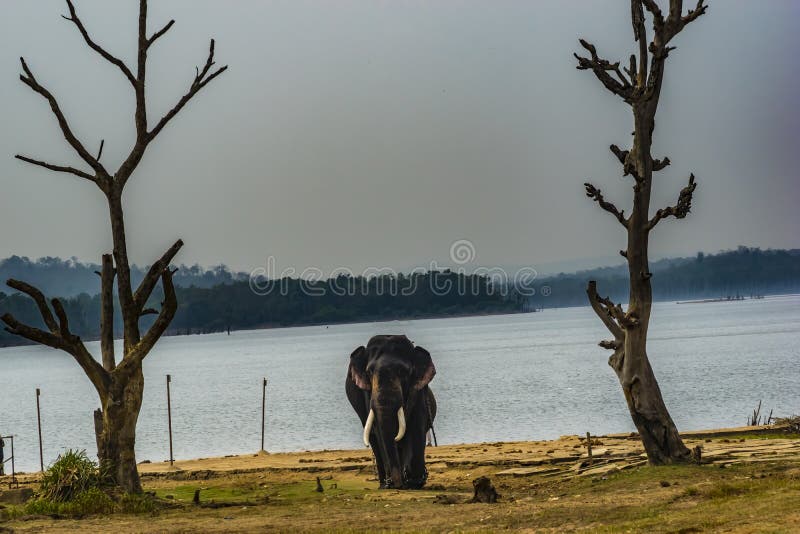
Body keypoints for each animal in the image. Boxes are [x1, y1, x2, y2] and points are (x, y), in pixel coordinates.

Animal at [346, 335, 437, 489]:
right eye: (369, 372)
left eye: (404, 372)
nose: (398, 484)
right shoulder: (367, 395)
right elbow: (379, 432)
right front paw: (394, 483)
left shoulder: (417, 390)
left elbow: (416, 426)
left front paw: (415, 482)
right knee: (374, 441)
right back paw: (384, 483)